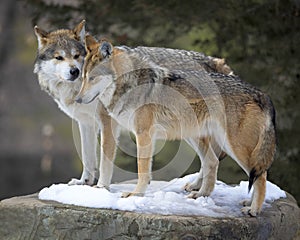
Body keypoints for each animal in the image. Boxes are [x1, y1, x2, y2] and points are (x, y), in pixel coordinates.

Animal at [75, 35, 276, 216]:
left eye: (92, 78)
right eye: (83, 77)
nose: (77, 99)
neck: (130, 85)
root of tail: (262, 94)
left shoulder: (143, 134)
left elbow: (142, 169)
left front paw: (136, 194)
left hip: (234, 146)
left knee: (261, 176)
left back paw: (253, 209)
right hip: (198, 137)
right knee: (214, 162)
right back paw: (202, 195)